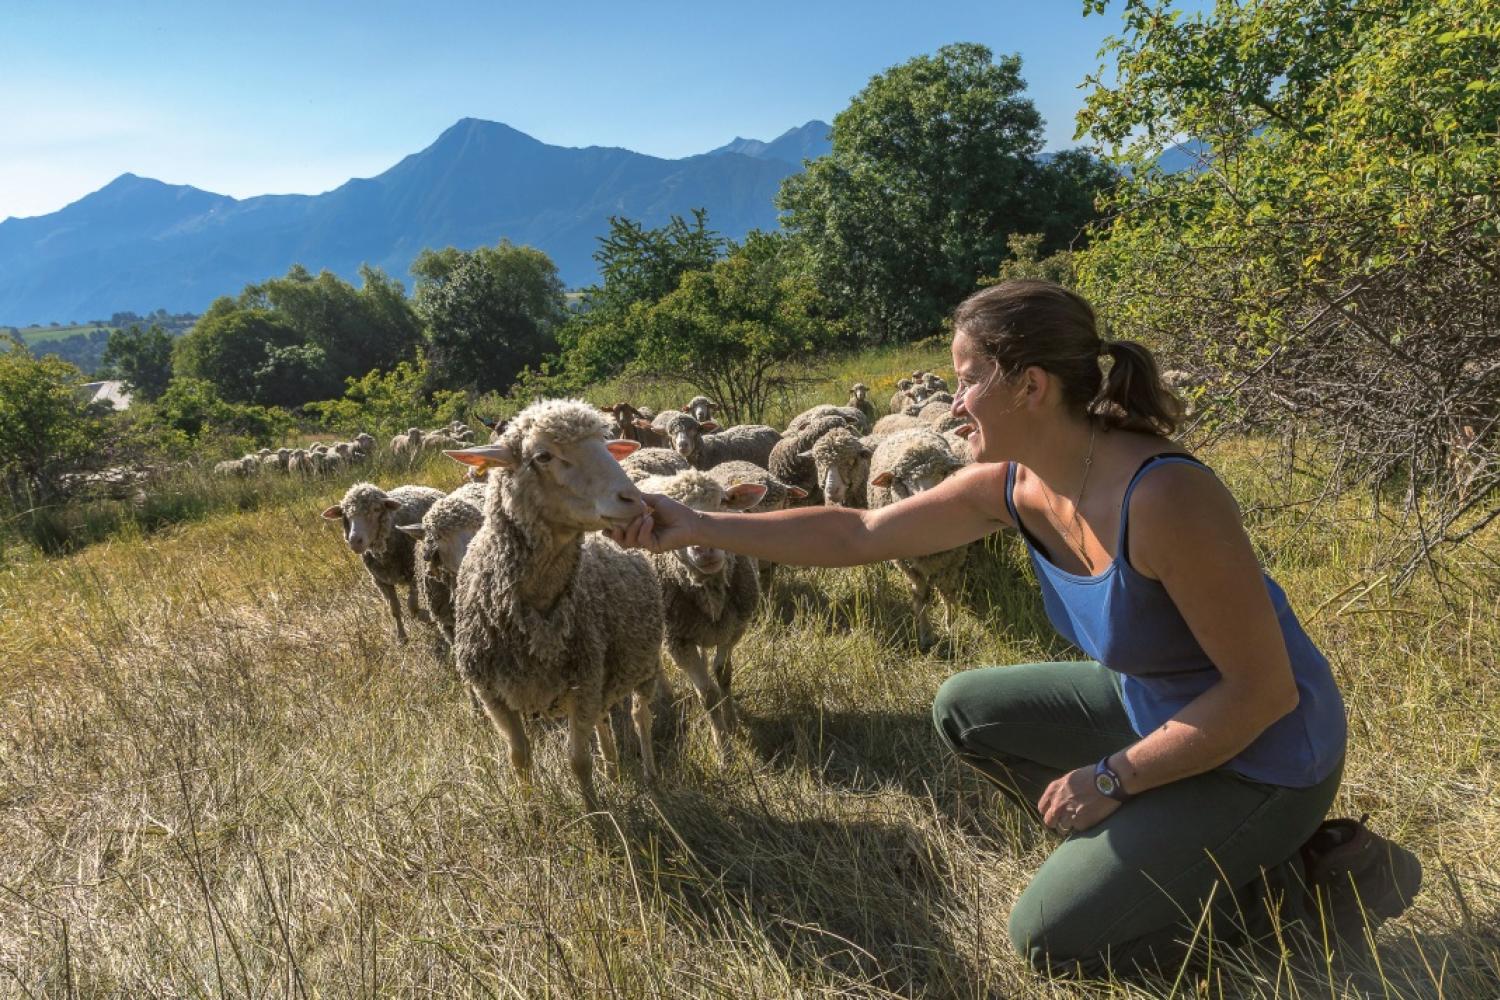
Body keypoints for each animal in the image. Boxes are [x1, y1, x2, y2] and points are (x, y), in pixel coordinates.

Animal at [322, 482, 444, 641]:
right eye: (345, 514)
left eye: (376, 509)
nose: (354, 541)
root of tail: (420, 486)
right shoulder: (381, 581)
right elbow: (394, 610)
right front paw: (401, 637)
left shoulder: (413, 572)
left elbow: (411, 605)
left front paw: (424, 616)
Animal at [438, 401, 663, 815]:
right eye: (542, 456)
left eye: (606, 445)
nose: (634, 501)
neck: (536, 615)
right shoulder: (494, 696)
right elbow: (519, 757)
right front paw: (532, 812)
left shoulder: (583, 682)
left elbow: (578, 760)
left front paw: (595, 815)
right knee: (604, 722)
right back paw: (613, 772)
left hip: (645, 664)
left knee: (640, 716)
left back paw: (650, 774)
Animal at [636, 470, 768, 743]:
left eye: (722, 502)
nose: (704, 546)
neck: (712, 593)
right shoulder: (678, 642)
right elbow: (707, 694)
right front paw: (723, 744)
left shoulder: (733, 630)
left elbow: (723, 674)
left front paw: (733, 723)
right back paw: (666, 695)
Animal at [870, 428, 972, 650]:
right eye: (902, 481)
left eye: (943, 473)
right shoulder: (909, 566)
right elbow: (921, 597)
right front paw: (926, 636)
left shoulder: (953, 559)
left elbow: (948, 591)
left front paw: (951, 626)